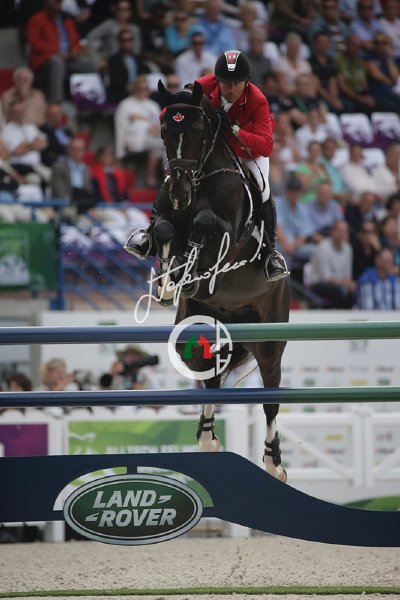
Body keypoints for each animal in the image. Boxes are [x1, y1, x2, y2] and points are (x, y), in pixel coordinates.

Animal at [153, 80, 289, 481]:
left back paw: (274, 462)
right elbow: (164, 229)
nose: (180, 194)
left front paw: (186, 269)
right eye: (164, 131)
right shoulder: (165, 217)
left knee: (271, 399)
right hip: (200, 330)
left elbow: (205, 225)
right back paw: (207, 439)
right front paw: (168, 280)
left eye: (199, 131)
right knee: (210, 379)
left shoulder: (229, 235)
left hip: (270, 342)